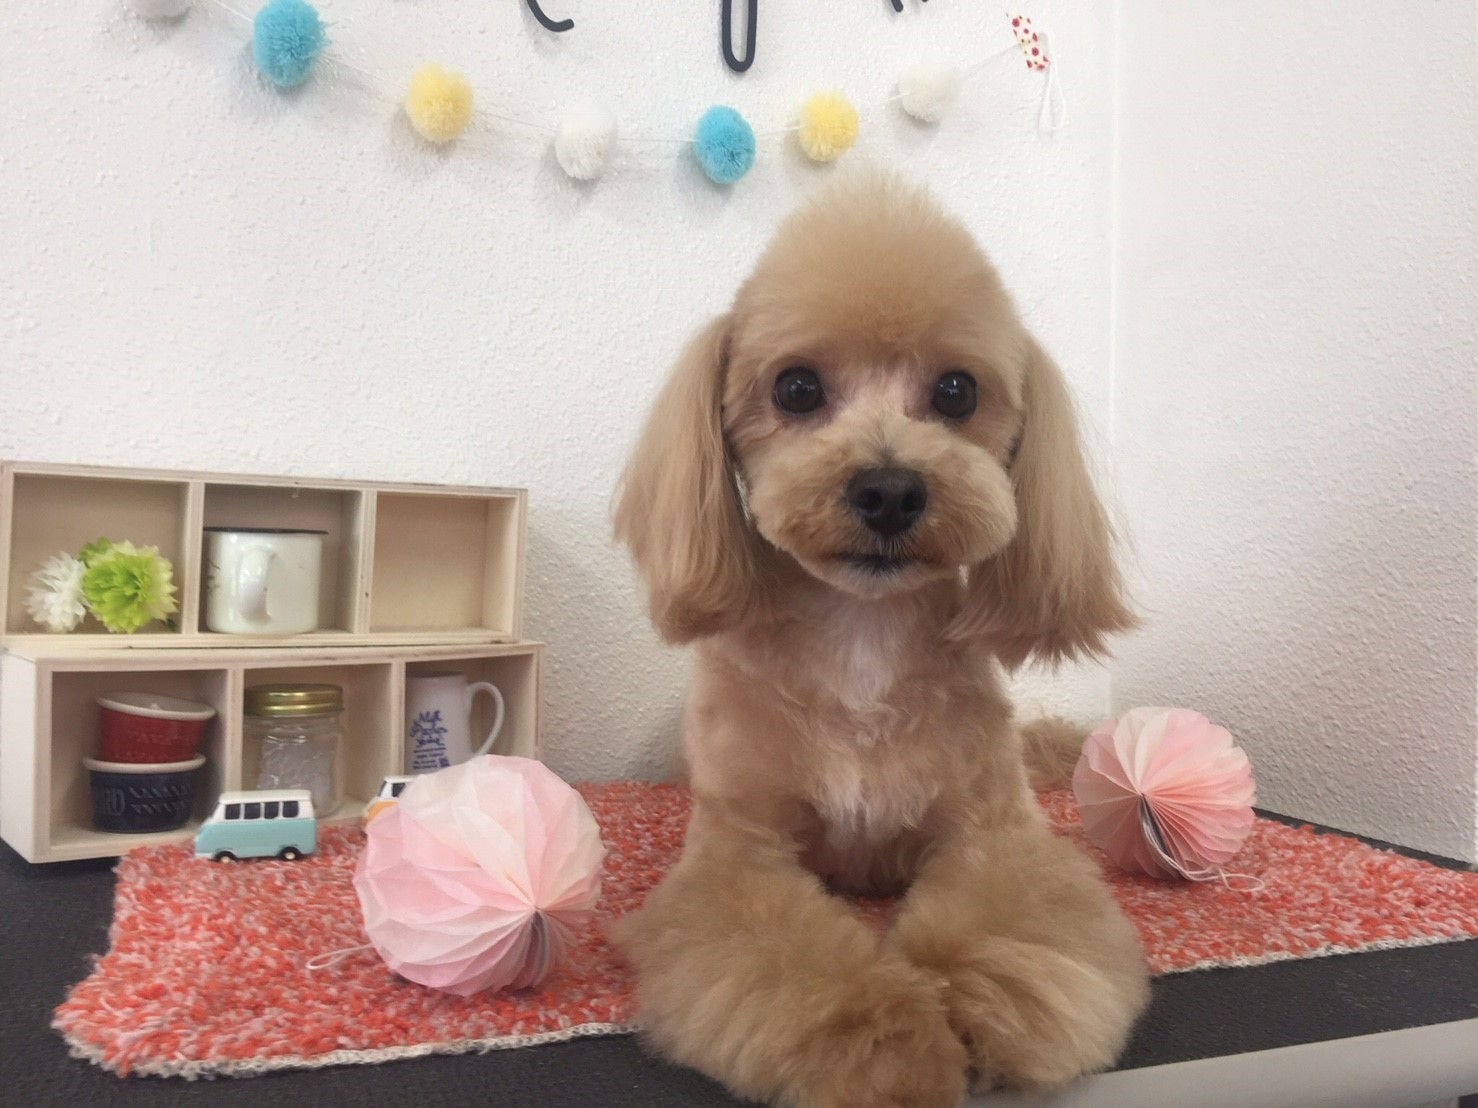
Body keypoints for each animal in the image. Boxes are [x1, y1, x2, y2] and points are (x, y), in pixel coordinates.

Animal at [612, 172, 1149, 1107]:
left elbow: (1016, 920)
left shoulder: (994, 834)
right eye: (795, 388)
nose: (891, 489)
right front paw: (883, 1044)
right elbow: (796, 968)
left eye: (957, 392)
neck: (863, 635)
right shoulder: (738, 860)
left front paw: (982, 999)